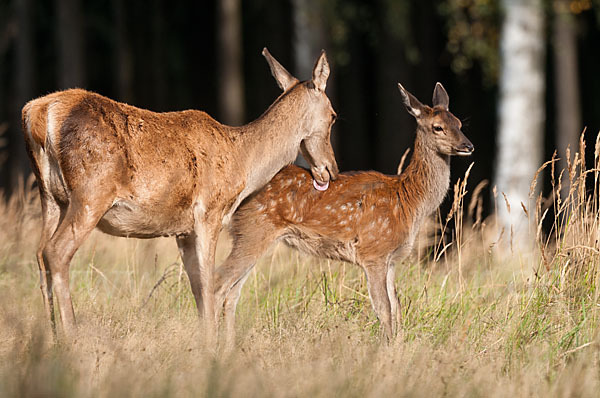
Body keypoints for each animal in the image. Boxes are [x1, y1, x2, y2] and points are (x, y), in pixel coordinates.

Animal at [22, 47, 338, 338]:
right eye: (334, 116)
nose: (331, 170)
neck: (242, 163)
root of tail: (37, 114)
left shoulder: (182, 231)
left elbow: (197, 289)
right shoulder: (209, 213)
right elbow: (209, 285)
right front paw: (212, 346)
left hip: (51, 197)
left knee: (39, 253)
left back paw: (50, 336)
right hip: (91, 191)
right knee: (57, 251)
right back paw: (70, 337)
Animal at [216, 81, 474, 342]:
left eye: (460, 124)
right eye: (438, 127)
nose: (468, 146)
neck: (410, 202)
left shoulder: (392, 259)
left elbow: (397, 307)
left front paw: (398, 344)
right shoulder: (374, 251)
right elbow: (383, 309)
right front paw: (386, 347)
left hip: (249, 234)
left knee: (232, 293)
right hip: (254, 229)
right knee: (219, 283)